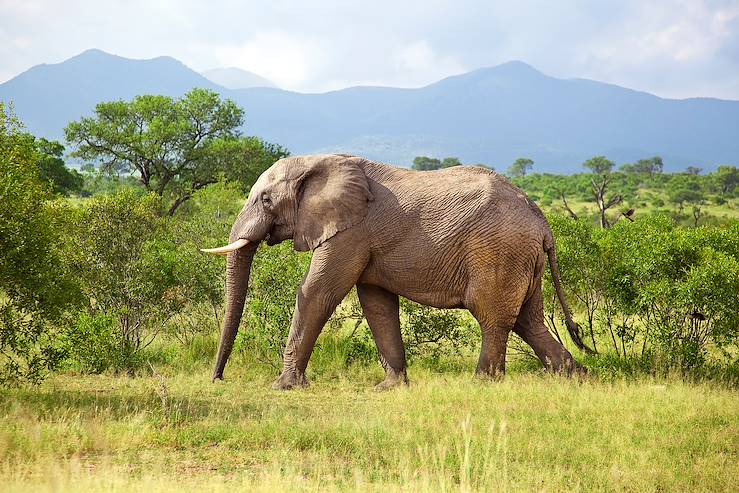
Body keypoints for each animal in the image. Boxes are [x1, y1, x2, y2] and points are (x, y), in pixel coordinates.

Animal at [204, 152, 596, 390]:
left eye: (266, 199)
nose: (218, 379)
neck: (319, 160)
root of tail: (542, 221)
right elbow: (376, 303)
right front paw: (389, 388)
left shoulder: (351, 231)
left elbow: (317, 292)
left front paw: (284, 387)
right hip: (523, 259)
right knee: (529, 321)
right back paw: (577, 378)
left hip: (499, 253)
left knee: (494, 318)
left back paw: (483, 383)